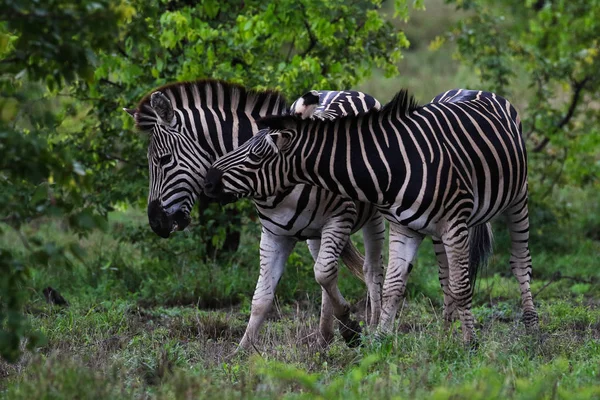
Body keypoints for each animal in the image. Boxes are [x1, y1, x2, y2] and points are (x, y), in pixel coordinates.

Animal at [125, 79, 386, 348]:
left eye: (164, 159)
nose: (156, 223)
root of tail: (343, 90)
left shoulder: (341, 216)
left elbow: (324, 274)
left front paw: (352, 326)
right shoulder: (274, 233)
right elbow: (262, 297)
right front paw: (243, 350)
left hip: (373, 215)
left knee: (371, 268)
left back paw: (374, 324)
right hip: (315, 234)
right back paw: (324, 337)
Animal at [205, 89, 540, 346]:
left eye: (255, 156)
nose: (208, 179)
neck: (395, 163)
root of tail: (474, 89)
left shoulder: (452, 223)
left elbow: (461, 286)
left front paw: (470, 344)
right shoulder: (405, 227)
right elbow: (394, 285)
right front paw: (380, 340)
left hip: (516, 199)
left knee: (519, 264)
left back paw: (531, 330)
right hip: (434, 231)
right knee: (444, 276)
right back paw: (444, 335)